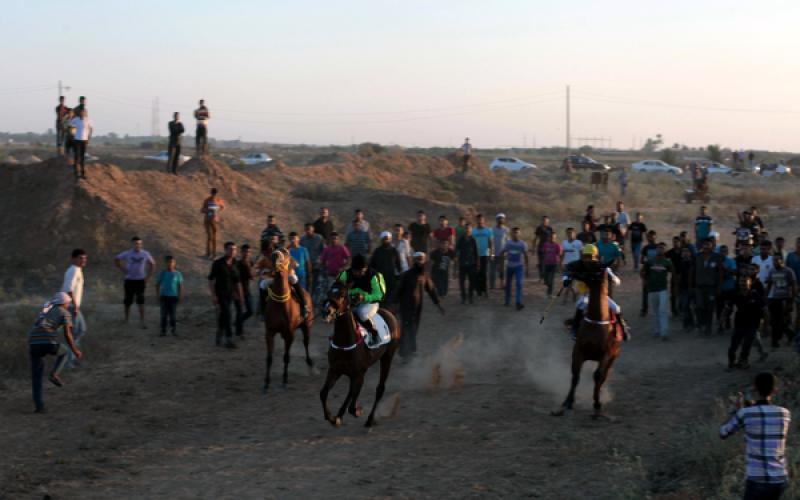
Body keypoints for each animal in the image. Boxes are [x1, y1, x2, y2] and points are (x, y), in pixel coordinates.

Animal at [262, 250, 312, 394]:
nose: (276, 255)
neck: (281, 304)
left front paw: (284, 380)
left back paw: (309, 362)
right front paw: (266, 383)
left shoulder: (289, 334)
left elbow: (286, 357)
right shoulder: (269, 332)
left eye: (286, 253)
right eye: (273, 254)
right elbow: (269, 358)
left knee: (306, 342)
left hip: (307, 325)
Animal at [320, 284, 400, 428]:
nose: (326, 311)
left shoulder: (358, 373)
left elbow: (352, 402)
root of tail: (390, 314)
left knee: (379, 389)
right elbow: (323, 393)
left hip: (387, 358)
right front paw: (332, 417)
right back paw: (339, 415)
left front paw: (357, 411)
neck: (345, 342)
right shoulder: (335, 370)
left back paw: (369, 419)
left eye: (342, 295)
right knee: (351, 392)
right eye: (328, 292)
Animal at [552, 262, 620, 418]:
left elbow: (598, 376)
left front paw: (597, 404)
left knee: (603, 376)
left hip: (613, 357)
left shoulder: (606, 355)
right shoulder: (578, 352)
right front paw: (567, 402)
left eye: (592, 265)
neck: (597, 320)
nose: (568, 266)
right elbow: (575, 376)